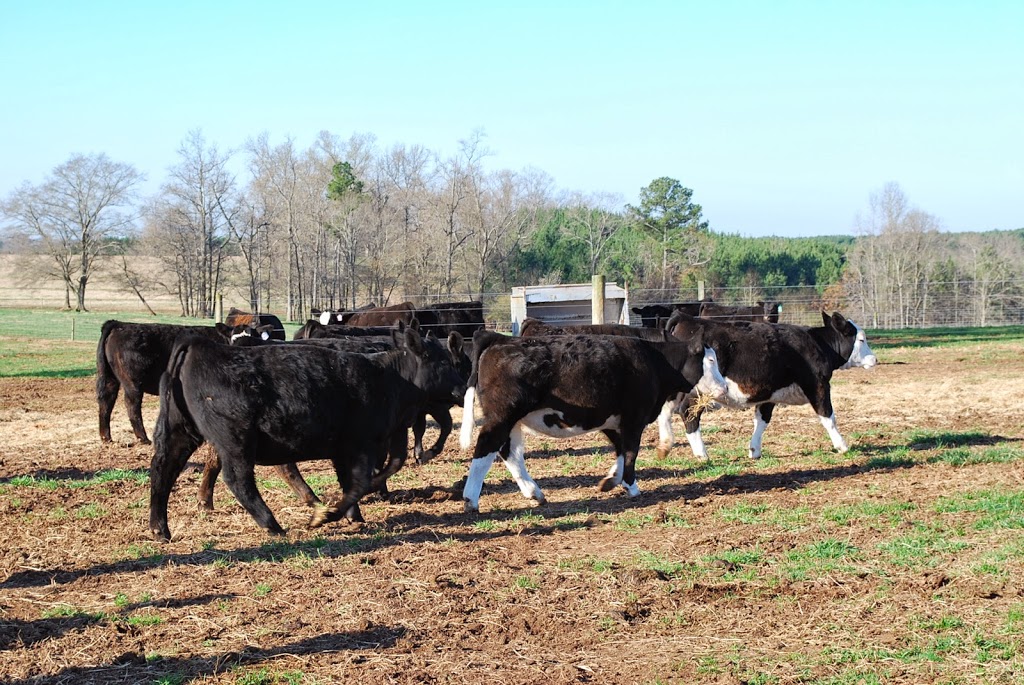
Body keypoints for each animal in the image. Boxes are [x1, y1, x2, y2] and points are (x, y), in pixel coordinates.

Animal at [96, 321, 230, 444]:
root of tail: (119, 324)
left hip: (109, 377)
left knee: (106, 401)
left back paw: (106, 438)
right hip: (133, 382)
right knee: (132, 404)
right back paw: (143, 438)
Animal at [149, 325, 466, 540]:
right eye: (441, 361)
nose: (463, 389)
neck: (388, 378)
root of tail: (199, 344)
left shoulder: (362, 444)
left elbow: (371, 474)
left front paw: (353, 515)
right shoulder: (360, 443)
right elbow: (362, 481)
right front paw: (328, 514)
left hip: (181, 432)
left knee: (164, 469)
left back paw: (159, 528)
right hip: (235, 440)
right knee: (238, 479)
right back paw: (273, 525)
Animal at [456, 327, 729, 509]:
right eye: (711, 360)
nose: (725, 387)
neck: (654, 361)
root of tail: (499, 338)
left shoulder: (611, 420)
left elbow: (621, 452)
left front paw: (610, 481)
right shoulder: (634, 419)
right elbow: (631, 453)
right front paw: (631, 486)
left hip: (511, 421)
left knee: (509, 453)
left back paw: (534, 492)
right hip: (502, 417)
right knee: (486, 447)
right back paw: (471, 499)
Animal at [663, 309, 880, 458]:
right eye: (861, 339)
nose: (874, 359)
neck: (817, 344)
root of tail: (686, 318)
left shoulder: (769, 394)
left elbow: (762, 420)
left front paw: (754, 450)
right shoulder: (818, 385)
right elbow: (828, 416)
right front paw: (842, 445)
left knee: (665, 413)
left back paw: (666, 445)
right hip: (698, 392)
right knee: (687, 413)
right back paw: (702, 454)